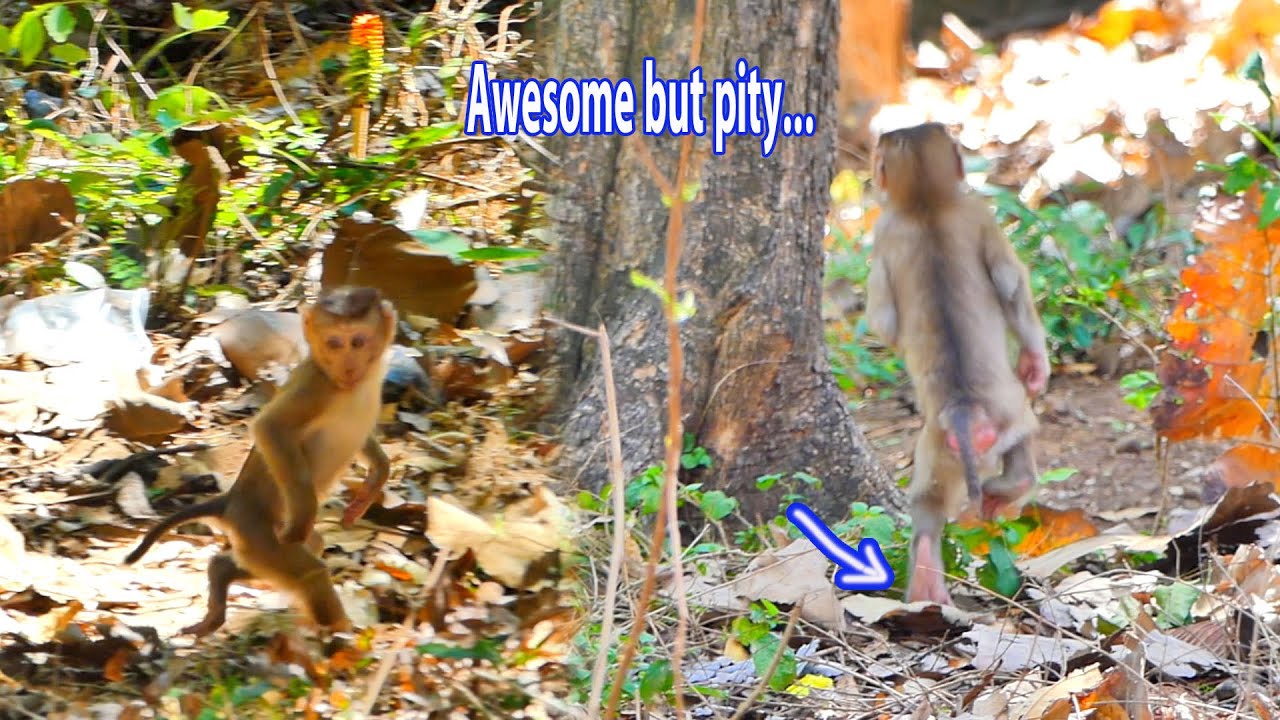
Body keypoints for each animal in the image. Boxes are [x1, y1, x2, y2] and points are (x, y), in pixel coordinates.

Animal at [123, 286, 396, 636]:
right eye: (334, 343)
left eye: (358, 341)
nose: (347, 366)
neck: (349, 384)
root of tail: (231, 502)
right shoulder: (316, 386)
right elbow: (270, 428)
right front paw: (303, 513)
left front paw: (377, 475)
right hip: (258, 532)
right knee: (309, 570)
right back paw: (341, 631)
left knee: (309, 548)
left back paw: (222, 571)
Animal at [864, 122, 1050, 606]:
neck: (926, 202)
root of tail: (965, 412)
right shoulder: (977, 214)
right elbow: (1012, 286)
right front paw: (1036, 364)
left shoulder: (888, 231)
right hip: (1006, 416)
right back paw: (1011, 487)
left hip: (945, 444)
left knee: (927, 505)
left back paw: (926, 578)